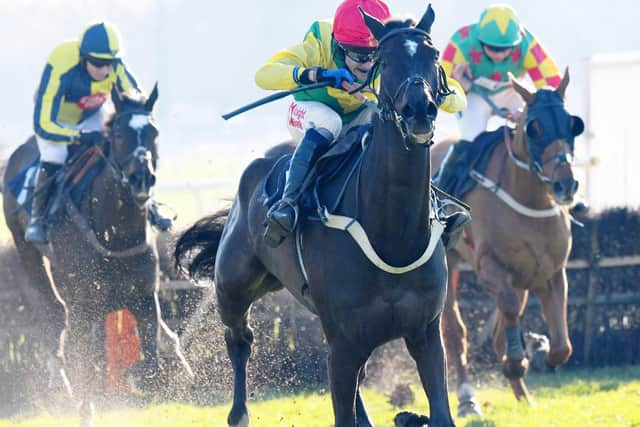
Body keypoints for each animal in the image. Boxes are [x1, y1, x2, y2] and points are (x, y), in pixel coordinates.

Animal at [3, 85, 192, 426]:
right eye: (118, 134)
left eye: (154, 132)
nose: (141, 177)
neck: (115, 233)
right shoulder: (84, 303)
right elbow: (85, 362)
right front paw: (85, 406)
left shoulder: (145, 294)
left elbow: (150, 363)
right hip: (28, 255)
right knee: (56, 313)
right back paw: (60, 381)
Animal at [175, 4, 456, 427]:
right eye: (385, 59)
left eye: (433, 55)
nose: (419, 110)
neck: (392, 237)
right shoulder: (344, 341)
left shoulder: (423, 334)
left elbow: (438, 411)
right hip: (233, 285)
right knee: (239, 339)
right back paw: (239, 412)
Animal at [430, 71, 584, 418]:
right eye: (535, 128)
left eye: (572, 124)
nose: (565, 184)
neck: (531, 201)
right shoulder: (489, 267)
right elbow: (509, 311)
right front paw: (516, 360)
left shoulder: (550, 273)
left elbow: (562, 346)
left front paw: (536, 351)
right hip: (449, 262)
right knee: (455, 333)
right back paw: (467, 399)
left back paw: (523, 395)